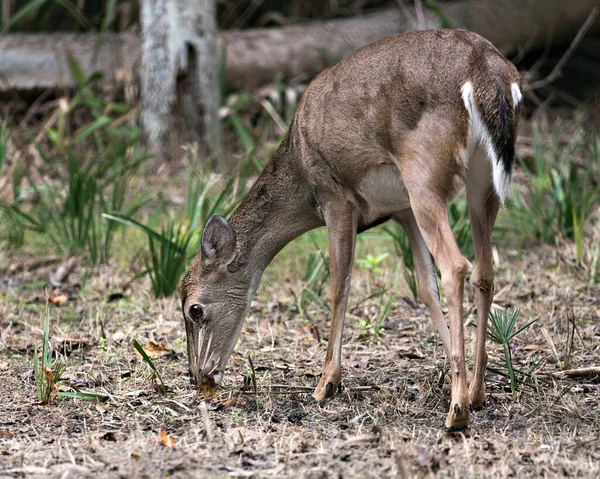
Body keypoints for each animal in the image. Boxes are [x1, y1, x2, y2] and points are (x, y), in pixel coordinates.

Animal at [179, 29, 520, 432]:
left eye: (194, 309)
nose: (197, 375)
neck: (300, 173)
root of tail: (487, 69)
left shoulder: (336, 197)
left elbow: (338, 285)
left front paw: (326, 383)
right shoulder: (401, 211)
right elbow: (424, 287)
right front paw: (459, 378)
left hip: (424, 171)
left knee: (456, 266)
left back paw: (456, 412)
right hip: (481, 183)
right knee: (484, 271)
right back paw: (477, 394)